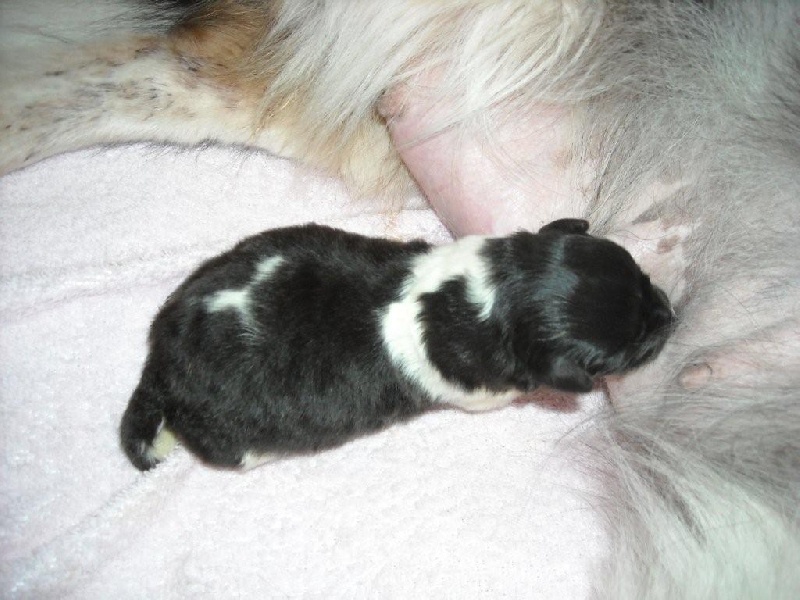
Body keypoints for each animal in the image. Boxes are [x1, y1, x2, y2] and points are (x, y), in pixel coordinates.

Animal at [119, 218, 672, 472]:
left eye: (644, 278)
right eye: (627, 350)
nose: (670, 315)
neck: (492, 299)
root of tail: (161, 365)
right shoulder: (483, 392)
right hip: (240, 442)